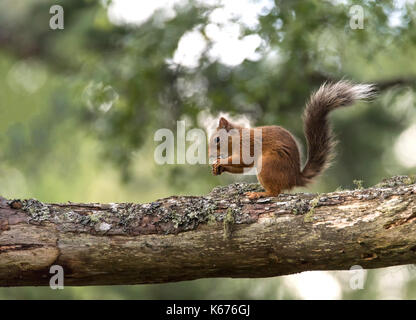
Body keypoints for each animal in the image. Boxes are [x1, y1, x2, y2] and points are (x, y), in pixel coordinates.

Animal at [210, 80, 376, 198]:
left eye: (217, 140)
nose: (210, 155)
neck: (236, 136)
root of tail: (294, 178)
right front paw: (217, 167)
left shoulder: (246, 145)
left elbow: (242, 161)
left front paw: (220, 162)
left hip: (268, 165)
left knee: (275, 192)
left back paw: (260, 193)